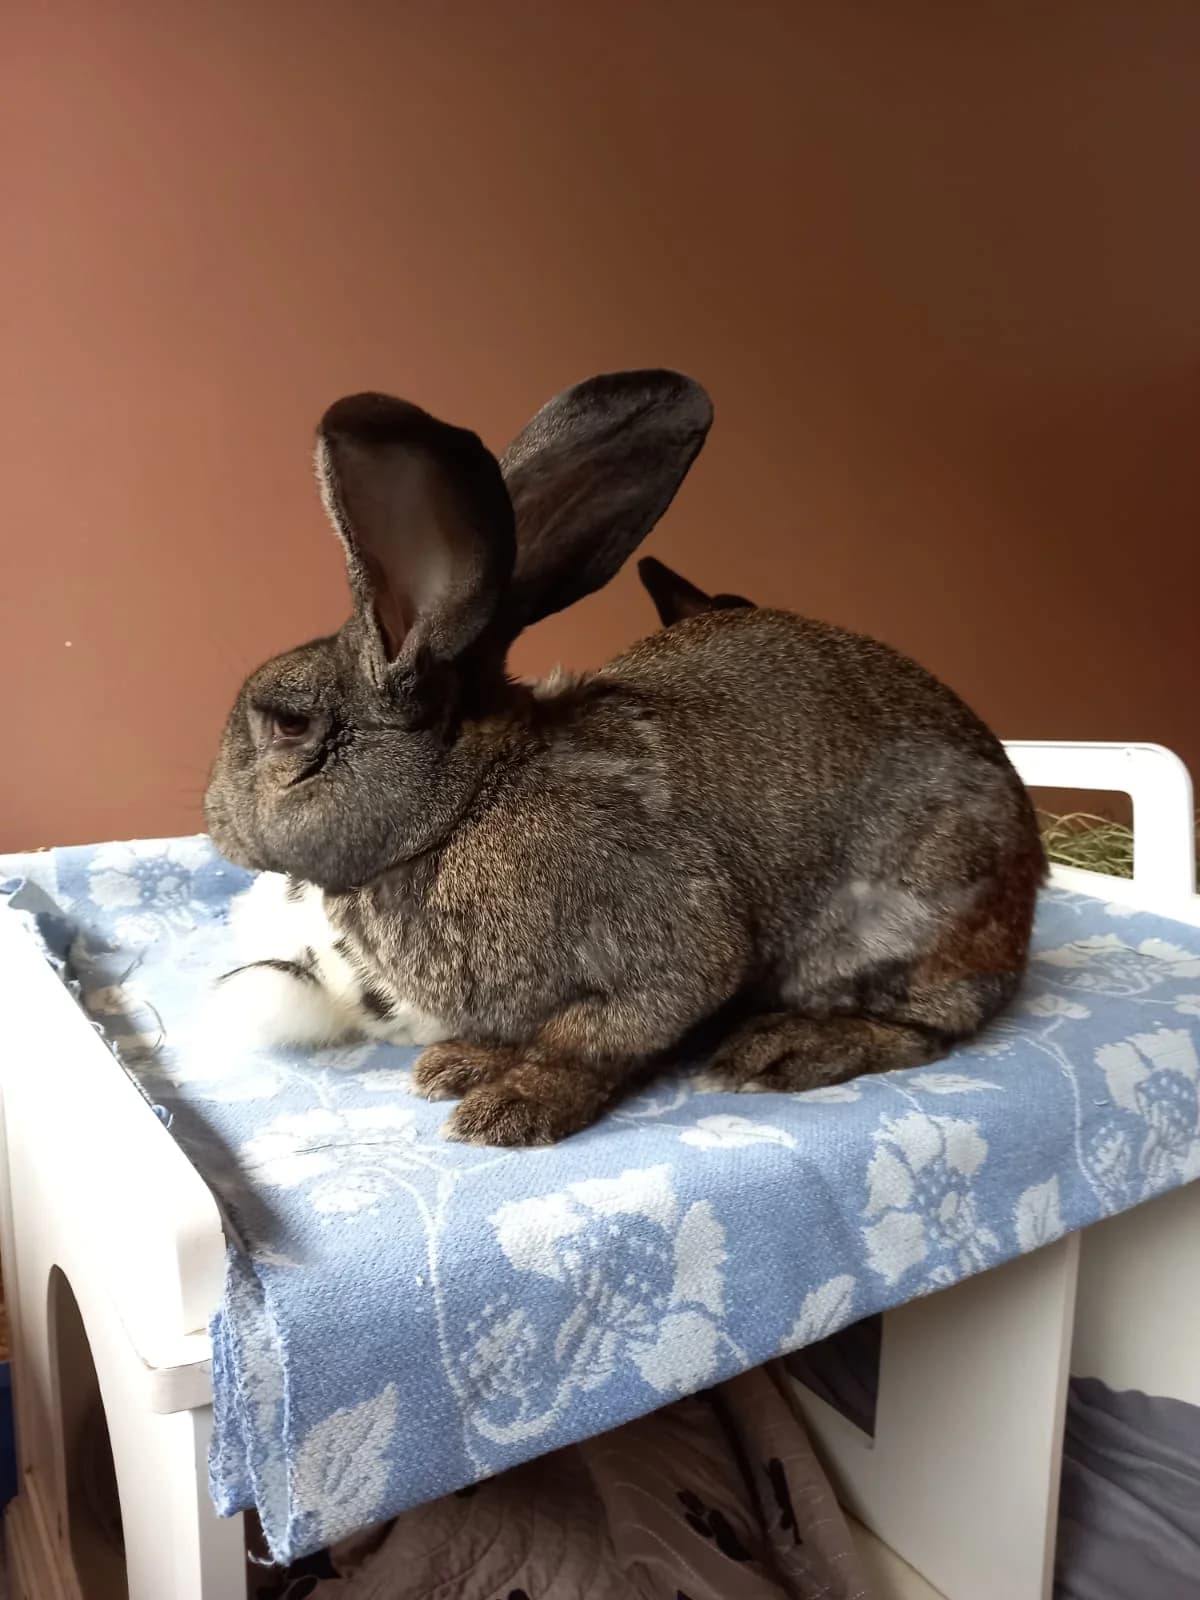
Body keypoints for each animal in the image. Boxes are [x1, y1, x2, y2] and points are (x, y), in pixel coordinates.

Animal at [204, 369, 1045, 1146]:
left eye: (287, 723)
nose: (212, 817)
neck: (464, 803)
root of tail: (1028, 881)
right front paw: (463, 1064)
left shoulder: (674, 954)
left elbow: (589, 1040)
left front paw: (511, 1107)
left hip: (909, 915)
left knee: (929, 1024)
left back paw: (785, 1048)